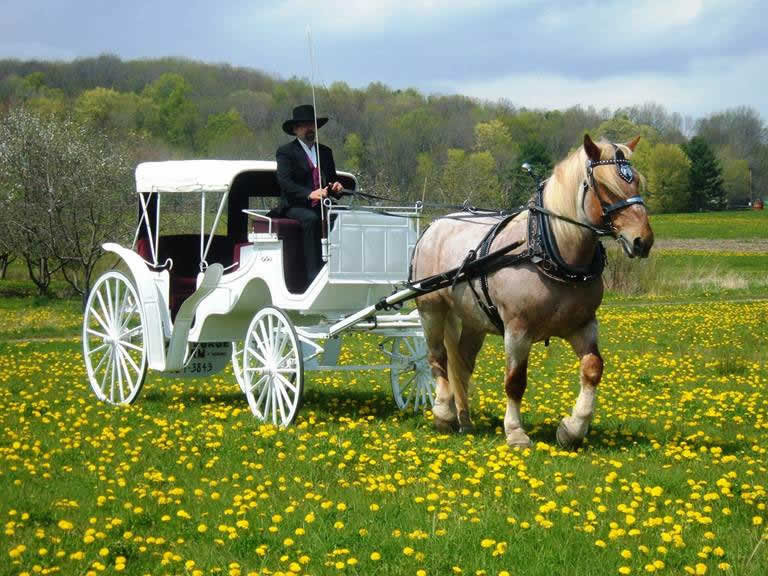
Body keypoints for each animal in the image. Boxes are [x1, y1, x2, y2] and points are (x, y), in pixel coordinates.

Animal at [411, 134, 654, 449]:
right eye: (606, 186)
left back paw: (464, 419)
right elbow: (515, 381)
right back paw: (444, 414)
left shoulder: (583, 325)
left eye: (636, 181)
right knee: (438, 358)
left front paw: (572, 429)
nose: (642, 240)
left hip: (474, 319)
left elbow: (592, 369)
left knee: (461, 363)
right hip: (431, 309)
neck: (549, 252)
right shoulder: (517, 330)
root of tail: (435, 225)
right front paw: (516, 432)